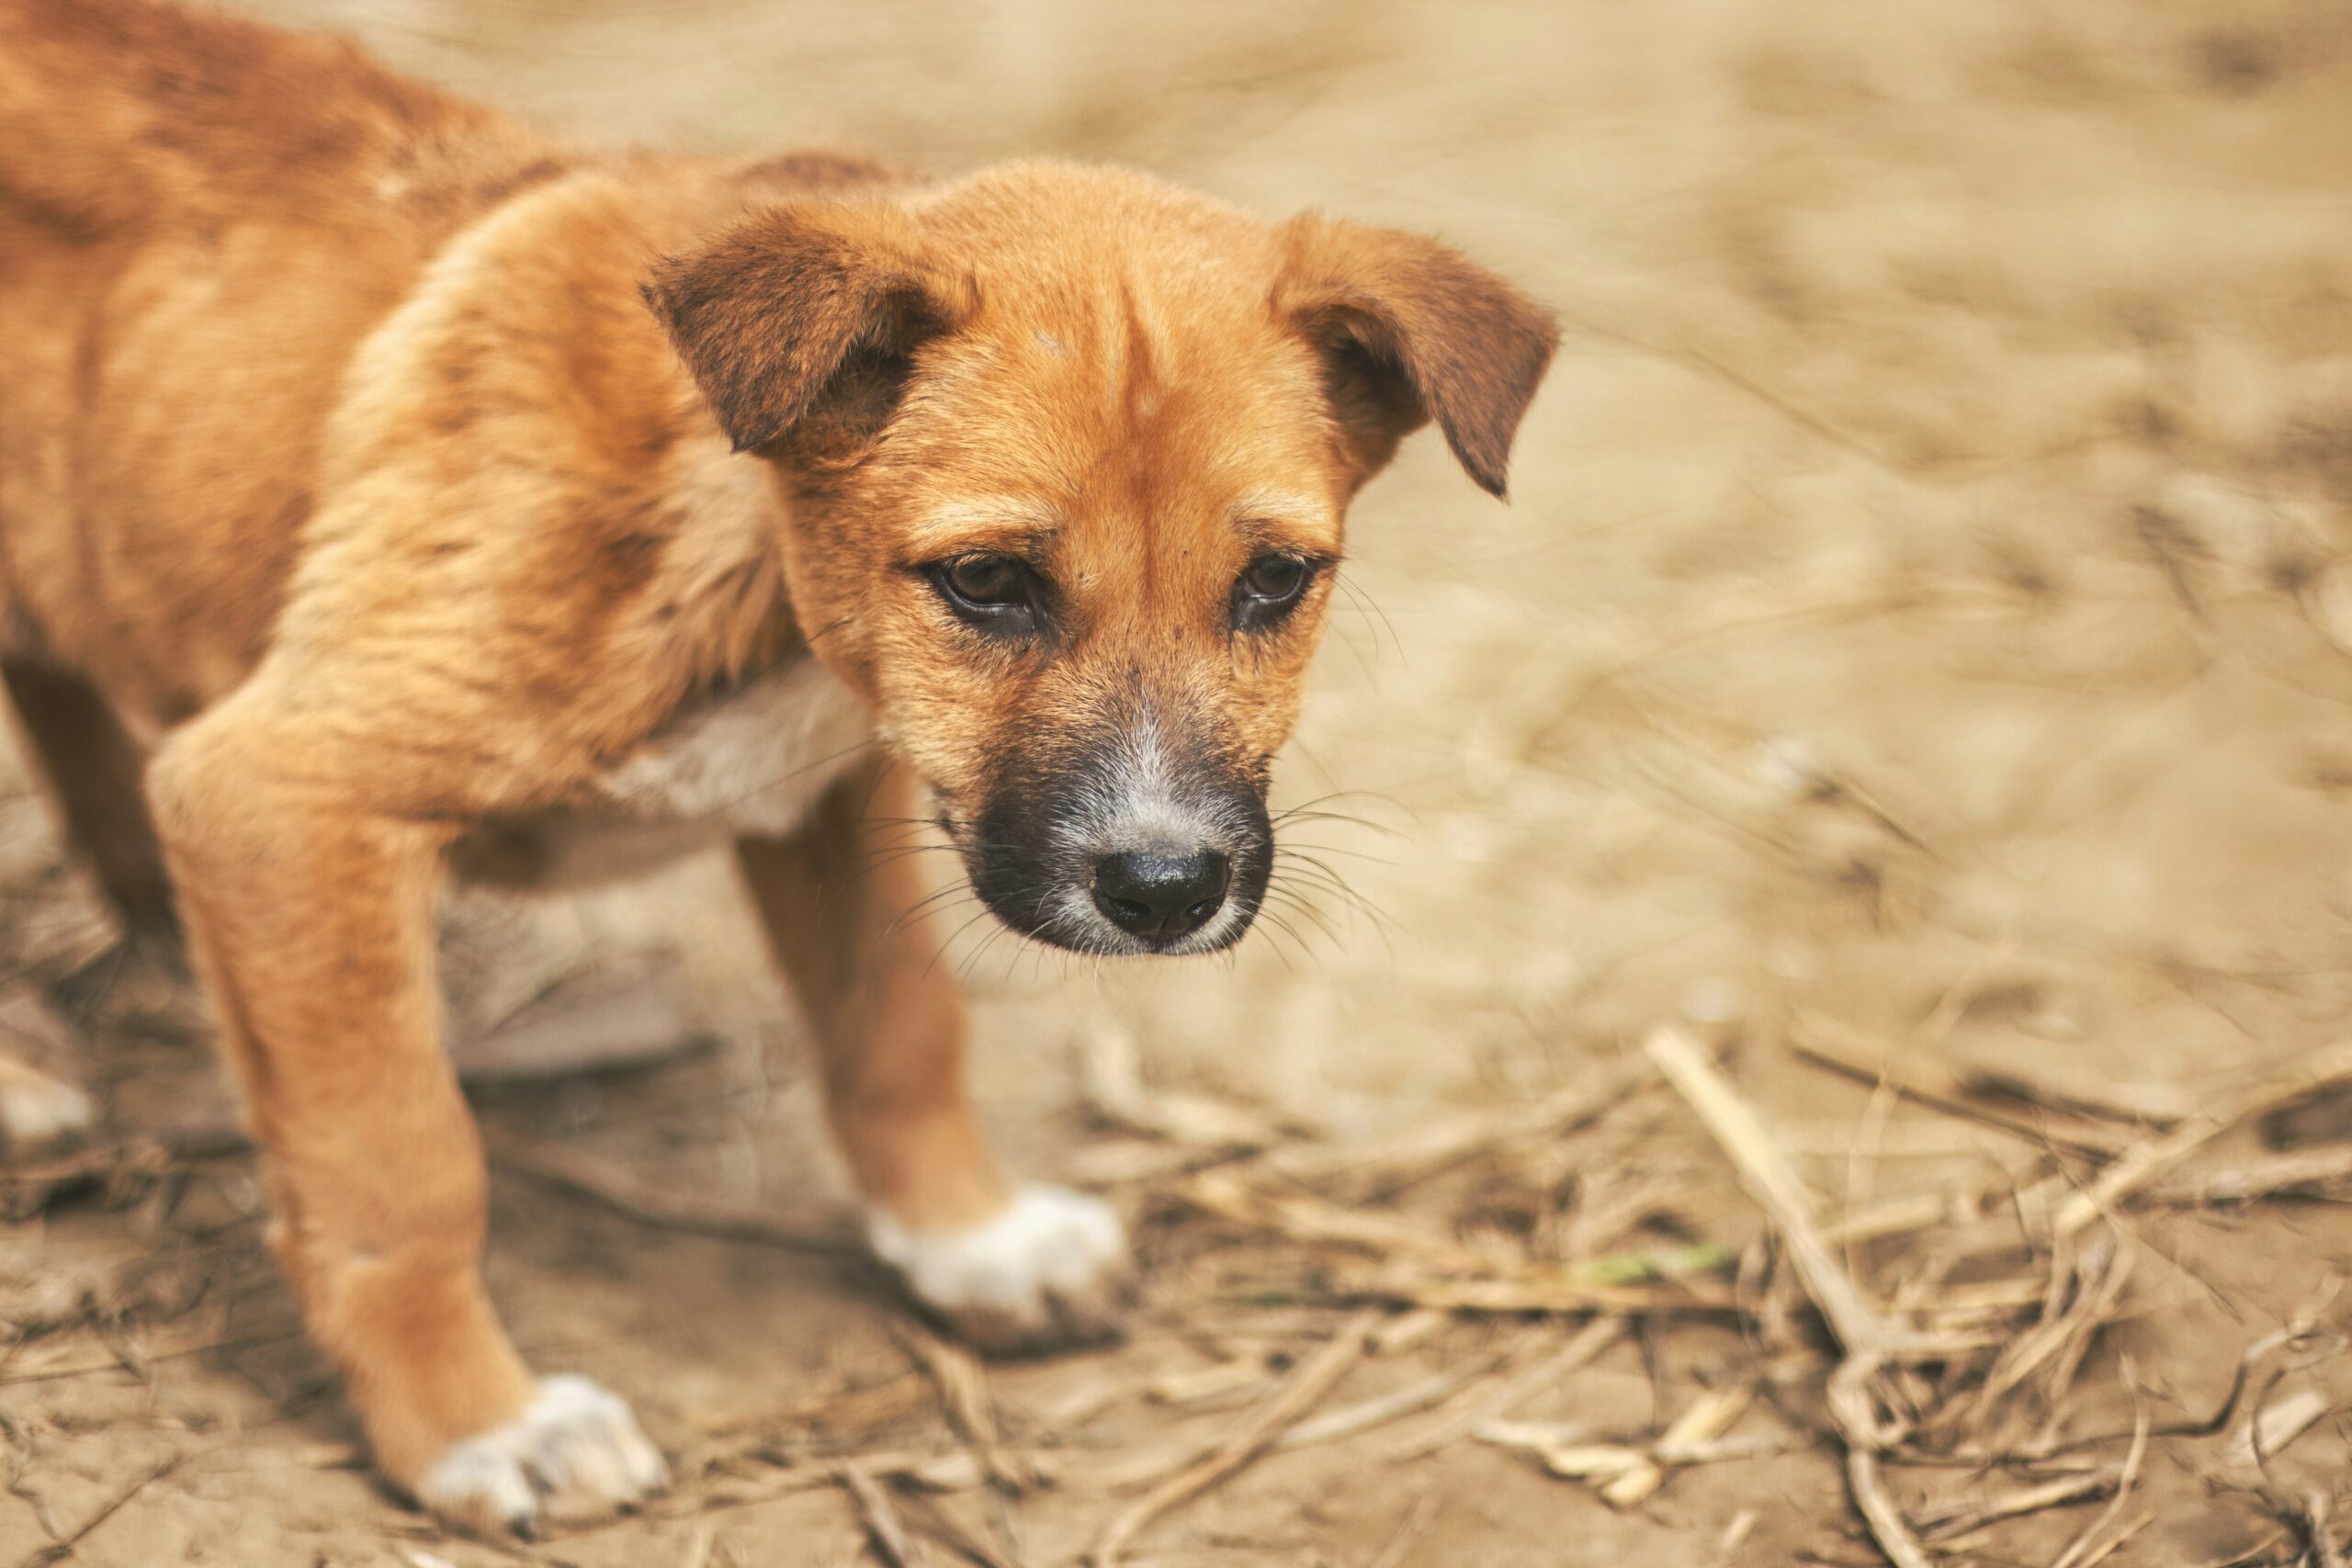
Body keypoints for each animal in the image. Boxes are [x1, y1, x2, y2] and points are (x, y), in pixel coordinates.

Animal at [0, 0, 1552, 1532]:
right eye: (987, 581)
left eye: (1276, 580)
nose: (1167, 890)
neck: (748, 540)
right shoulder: (285, 793)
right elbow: (402, 1168)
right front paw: (478, 1425)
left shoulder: (835, 792)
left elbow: (898, 1030)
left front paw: (972, 1237)